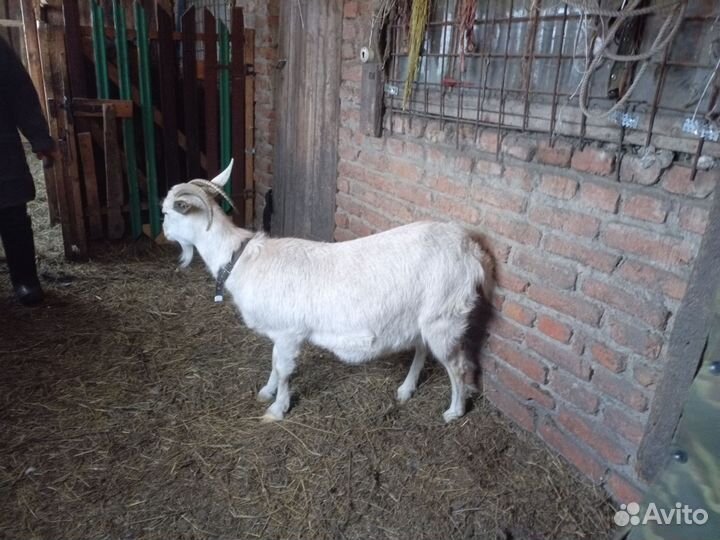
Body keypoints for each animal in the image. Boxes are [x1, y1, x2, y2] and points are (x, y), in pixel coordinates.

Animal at [162, 161, 489, 423]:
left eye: (166, 212)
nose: (164, 233)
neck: (240, 258)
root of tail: (469, 248)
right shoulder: (279, 331)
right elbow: (273, 362)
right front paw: (267, 391)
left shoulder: (290, 331)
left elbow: (284, 369)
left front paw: (277, 409)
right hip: (423, 316)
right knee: (422, 347)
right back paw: (406, 390)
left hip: (444, 317)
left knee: (458, 366)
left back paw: (454, 411)